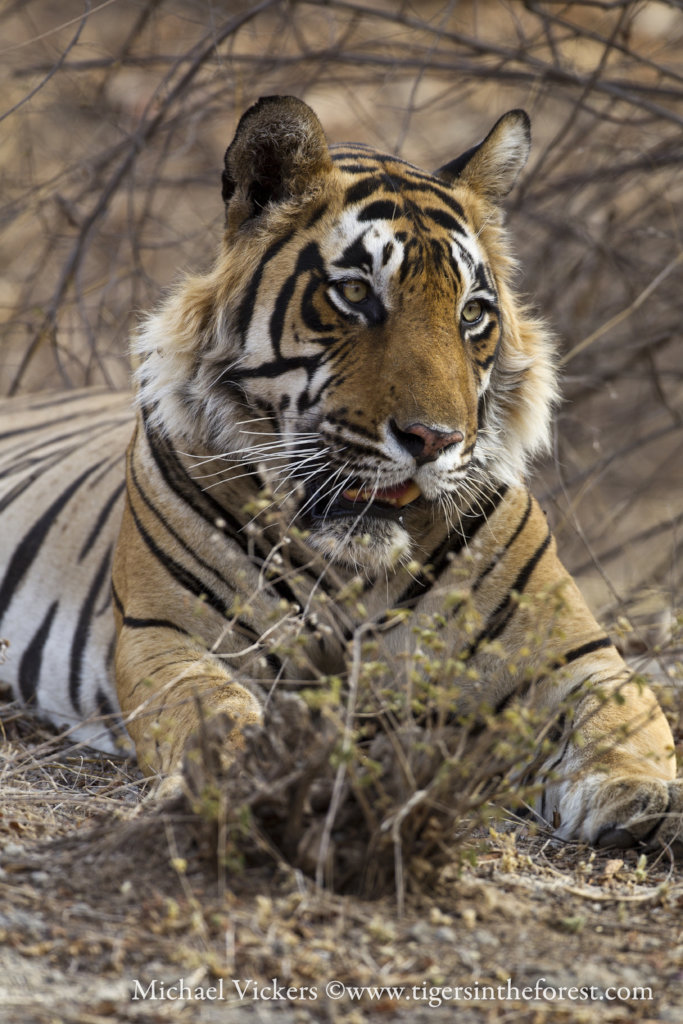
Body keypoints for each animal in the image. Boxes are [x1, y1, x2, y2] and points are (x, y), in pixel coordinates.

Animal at [0, 95, 680, 856]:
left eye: (472, 313)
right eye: (355, 293)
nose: (434, 439)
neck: (357, 574)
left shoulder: (570, 656)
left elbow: (624, 718)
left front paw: (641, 795)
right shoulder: (168, 637)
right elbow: (214, 712)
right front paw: (244, 782)